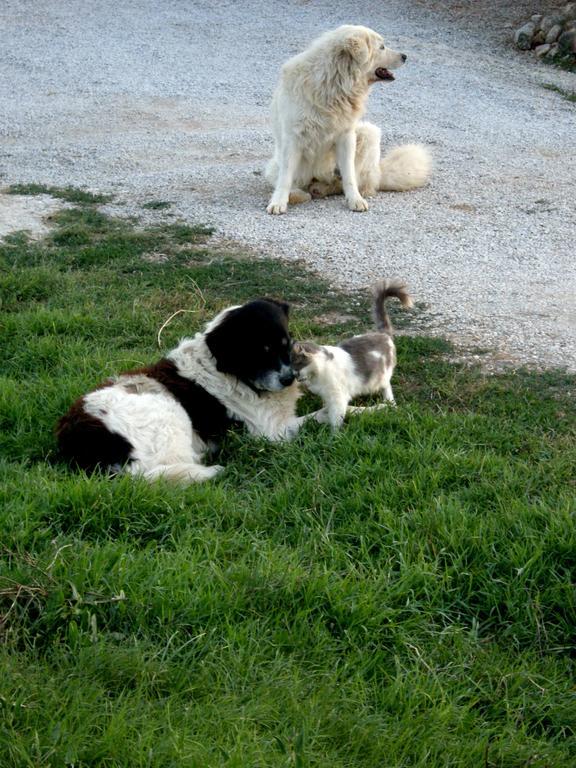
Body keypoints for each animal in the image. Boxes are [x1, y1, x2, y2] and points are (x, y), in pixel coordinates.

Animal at [58, 298, 308, 484]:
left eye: (286, 344)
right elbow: (312, 419)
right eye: (259, 353)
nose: (288, 379)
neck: (228, 372)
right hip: (168, 413)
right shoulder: (271, 433)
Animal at [264, 24, 428, 214]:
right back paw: (300, 194)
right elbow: (285, 178)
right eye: (382, 47)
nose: (405, 56)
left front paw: (355, 200)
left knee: (348, 182)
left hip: (368, 132)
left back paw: (323, 188)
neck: (336, 83)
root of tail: (378, 172)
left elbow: (349, 175)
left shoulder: (346, 136)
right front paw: (278, 202)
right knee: (292, 183)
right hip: (276, 166)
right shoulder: (293, 138)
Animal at [292, 280, 414, 428]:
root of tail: (383, 334)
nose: (294, 378)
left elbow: (336, 420)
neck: (316, 375)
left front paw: (333, 433)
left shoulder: (338, 398)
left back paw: (389, 404)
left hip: (381, 377)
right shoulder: (328, 397)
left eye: (295, 368)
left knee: (388, 389)